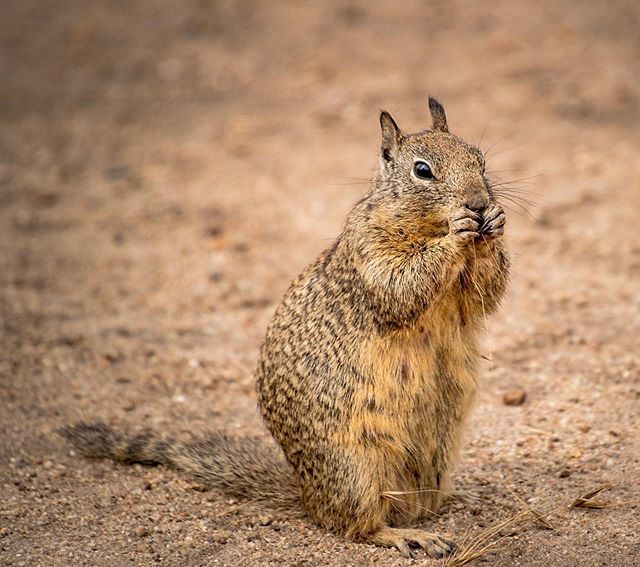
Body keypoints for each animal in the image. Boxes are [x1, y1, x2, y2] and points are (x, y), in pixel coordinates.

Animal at [61, 97, 510, 560]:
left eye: (480, 159)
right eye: (422, 171)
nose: (478, 203)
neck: (423, 225)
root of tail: (306, 495)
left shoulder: (467, 292)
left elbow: (488, 290)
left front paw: (495, 222)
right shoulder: (369, 253)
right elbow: (402, 284)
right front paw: (457, 233)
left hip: (440, 452)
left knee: (422, 502)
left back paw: (459, 497)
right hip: (355, 470)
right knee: (357, 525)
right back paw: (407, 534)